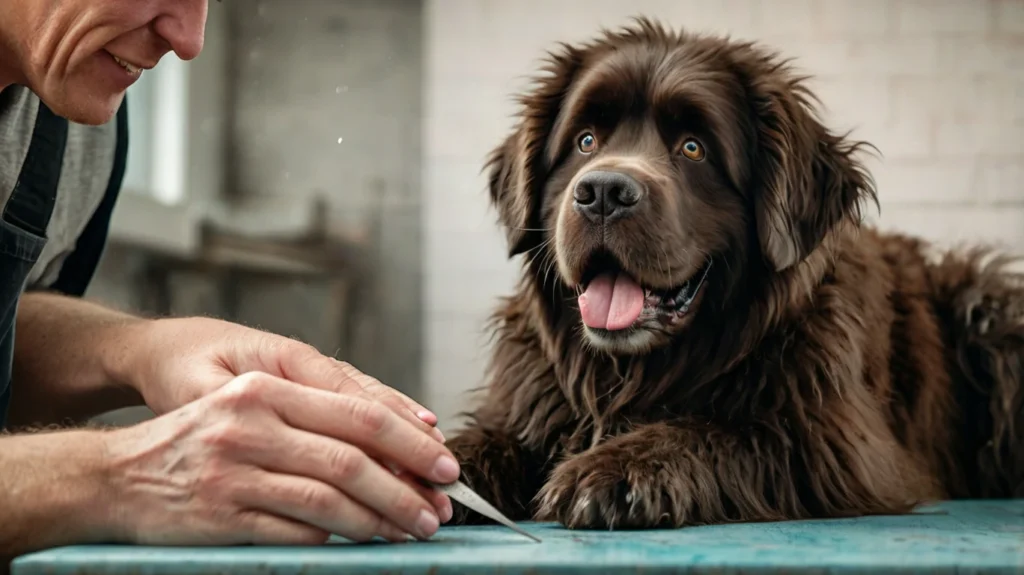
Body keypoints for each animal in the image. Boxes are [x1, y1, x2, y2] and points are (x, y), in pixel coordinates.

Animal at [442, 16, 1024, 527]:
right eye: (586, 141)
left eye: (693, 148)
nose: (603, 192)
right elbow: (493, 436)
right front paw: (448, 461)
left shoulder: (833, 442)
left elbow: (719, 430)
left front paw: (616, 469)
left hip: (988, 312)